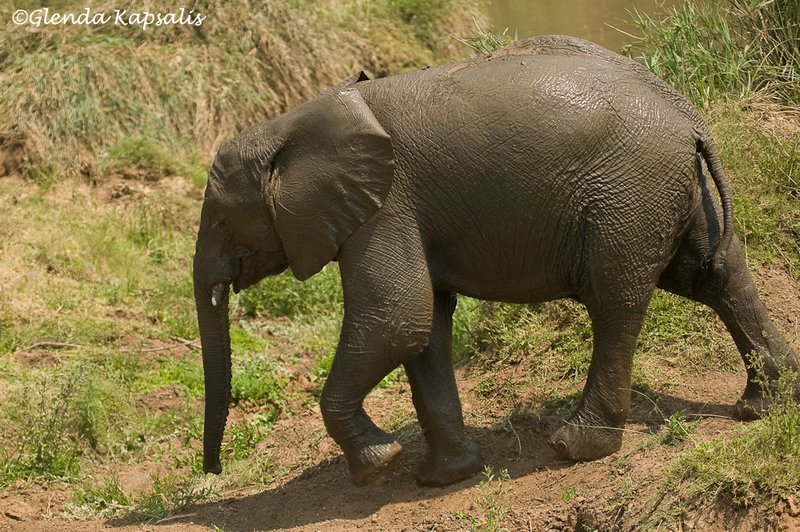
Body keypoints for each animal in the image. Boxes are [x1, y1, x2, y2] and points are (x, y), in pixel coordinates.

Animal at [193, 35, 799, 487]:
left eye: (220, 219)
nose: (213, 471)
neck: (291, 123)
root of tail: (688, 114)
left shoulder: (384, 208)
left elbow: (397, 319)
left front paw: (378, 467)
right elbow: (425, 329)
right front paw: (445, 477)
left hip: (628, 193)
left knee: (615, 302)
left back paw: (576, 447)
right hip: (673, 190)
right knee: (715, 275)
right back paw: (763, 406)